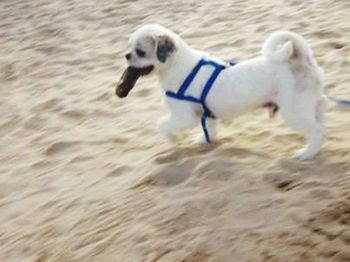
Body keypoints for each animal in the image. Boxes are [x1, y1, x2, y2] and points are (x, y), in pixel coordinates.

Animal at [116, 24, 326, 161]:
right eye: (129, 47)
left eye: (140, 52)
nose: (126, 55)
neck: (176, 64)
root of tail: (298, 59)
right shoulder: (206, 113)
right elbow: (210, 129)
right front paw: (204, 140)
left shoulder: (183, 117)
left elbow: (161, 124)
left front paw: (172, 138)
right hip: (312, 105)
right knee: (322, 126)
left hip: (294, 111)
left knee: (317, 132)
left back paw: (306, 154)